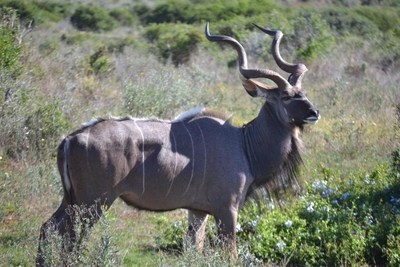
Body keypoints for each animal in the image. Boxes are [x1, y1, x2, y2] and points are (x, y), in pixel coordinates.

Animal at [36, 23, 318, 266]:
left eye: (303, 93)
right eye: (286, 96)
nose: (314, 112)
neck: (245, 144)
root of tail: (70, 139)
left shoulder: (197, 211)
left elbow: (195, 248)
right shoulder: (227, 210)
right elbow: (230, 254)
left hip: (72, 201)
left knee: (48, 228)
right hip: (94, 203)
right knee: (72, 241)